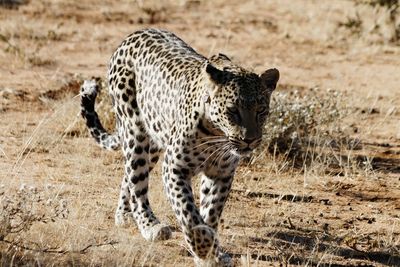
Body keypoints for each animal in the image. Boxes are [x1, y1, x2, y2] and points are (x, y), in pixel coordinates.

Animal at [79, 28, 280, 266]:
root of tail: (135, 33)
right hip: (135, 131)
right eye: (232, 110)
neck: (216, 134)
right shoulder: (174, 167)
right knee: (137, 182)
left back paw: (124, 215)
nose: (250, 139)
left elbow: (211, 211)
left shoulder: (221, 173)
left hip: (154, 142)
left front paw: (210, 253)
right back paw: (149, 226)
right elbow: (188, 212)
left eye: (261, 110)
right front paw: (203, 248)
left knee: (128, 175)